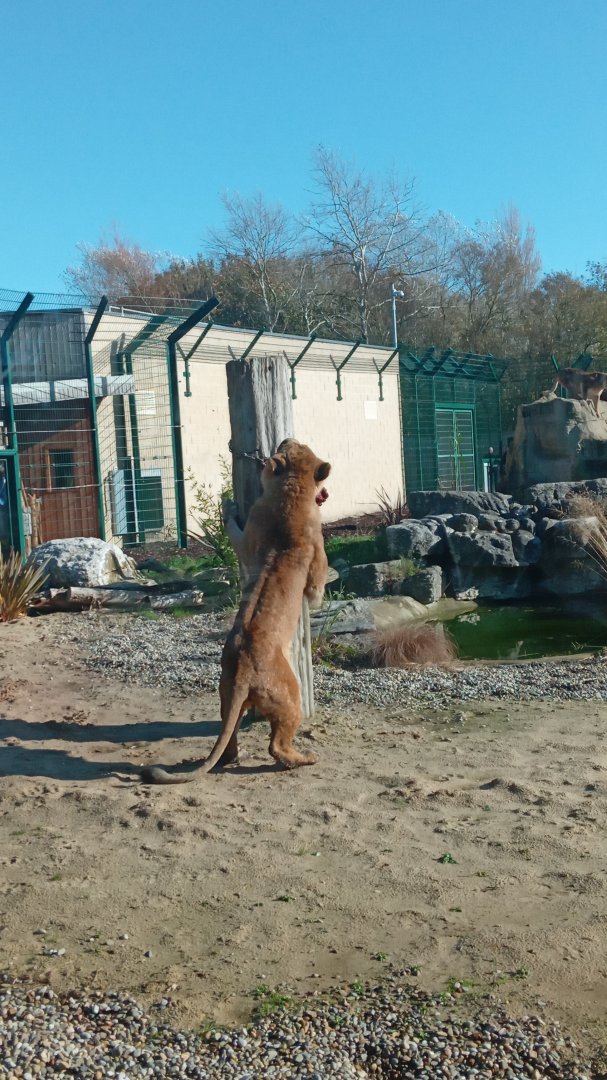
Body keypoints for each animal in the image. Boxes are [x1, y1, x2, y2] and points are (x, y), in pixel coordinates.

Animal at [140, 438, 330, 784]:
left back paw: (231, 756)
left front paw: (226, 506)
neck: (291, 492)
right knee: (276, 745)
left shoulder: (252, 532)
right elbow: (316, 594)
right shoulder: (316, 567)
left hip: (226, 694)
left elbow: (236, 535)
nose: (286, 440)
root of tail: (243, 671)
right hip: (290, 695)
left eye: (295, 446)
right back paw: (305, 758)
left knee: (227, 740)